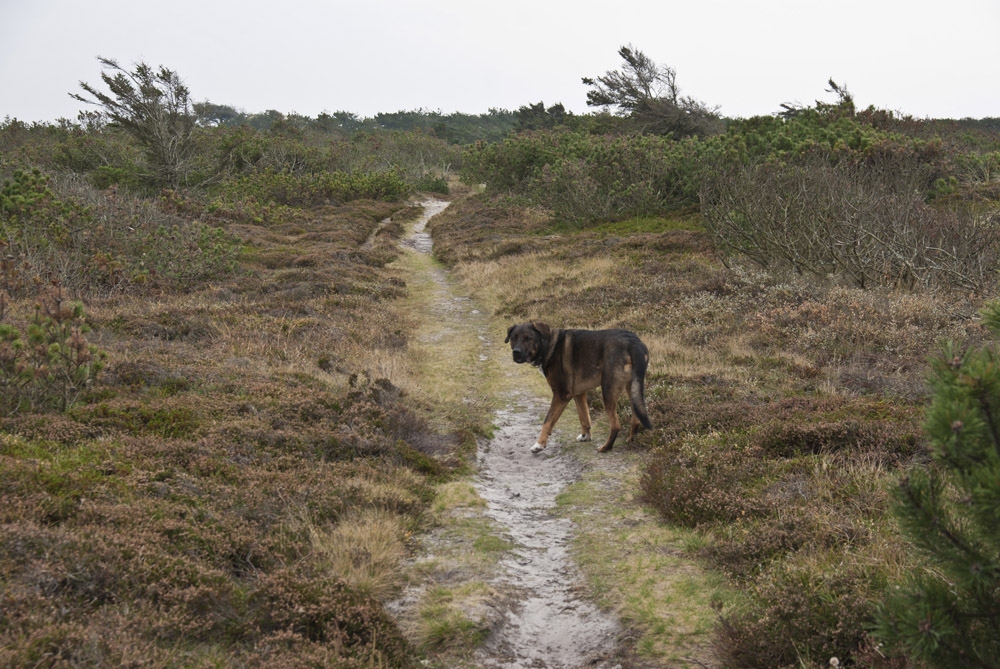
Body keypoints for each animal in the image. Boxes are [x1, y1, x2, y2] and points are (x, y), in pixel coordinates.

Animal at [504, 320, 652, 454]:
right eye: (513, 338)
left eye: (528, 338)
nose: (516, 352)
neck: (548, 346)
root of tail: (634, 342)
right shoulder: (579, 393)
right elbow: (584, 417)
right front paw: (586, 436)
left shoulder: (561, 395)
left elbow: (548, 421)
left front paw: (539, 444)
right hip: (632, 387)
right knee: (636, 419)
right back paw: (630, 440)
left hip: (608, 390)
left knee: (616, 425)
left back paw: (606, 447)